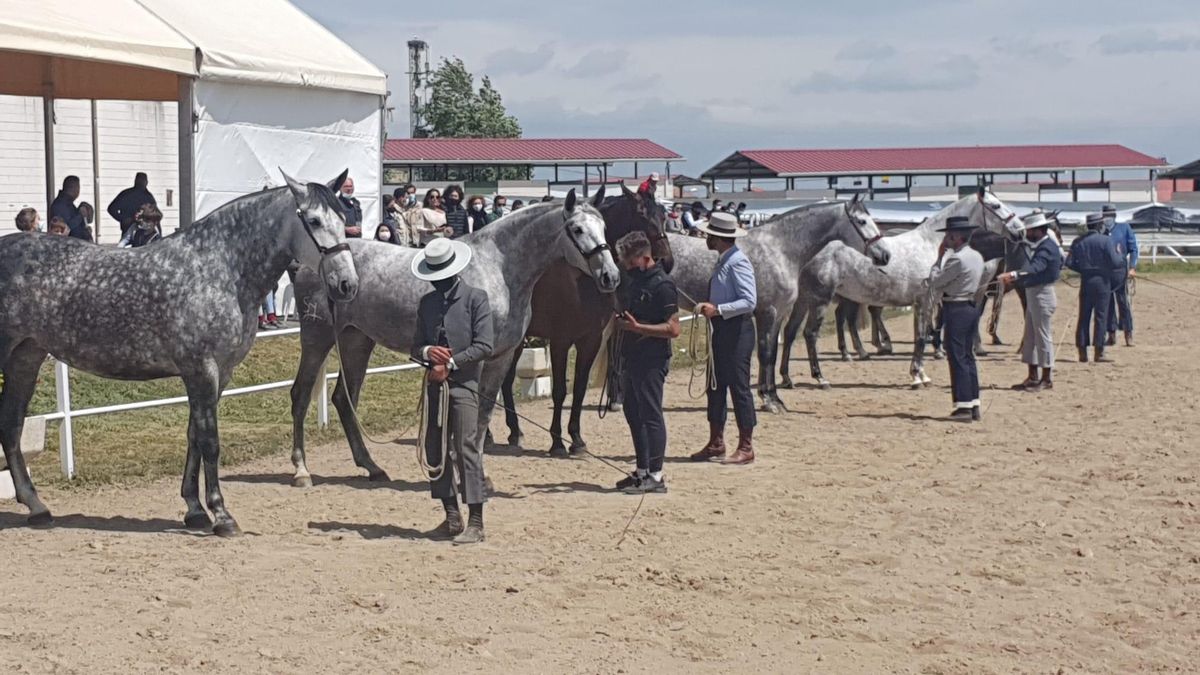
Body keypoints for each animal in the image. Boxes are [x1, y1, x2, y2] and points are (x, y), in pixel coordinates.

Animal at [0, 170, 355, 533]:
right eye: (314, 220)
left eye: (344, 219)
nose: (347, 283)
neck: (220, 270)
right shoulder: (202, 369)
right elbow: (210, 441)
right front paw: (221, 515)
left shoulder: (219, 373)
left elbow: (194, 436)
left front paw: (195, 510)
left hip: (26, 357)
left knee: (11, 425)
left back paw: (37, 507)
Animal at [284, 186, 614, 485]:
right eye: (577, 229)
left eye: (603, 226)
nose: (610, 276)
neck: (497, 268)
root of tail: (311, 262)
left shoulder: (501, 356)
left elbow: (483, 415)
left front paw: (479, 475)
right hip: (317, 337)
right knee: (301, 395)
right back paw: (302, 471)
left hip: (357, 341)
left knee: (343, 399)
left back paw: (372, 468)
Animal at [494, 186, 667, 454]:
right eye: (642, 215)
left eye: (662, 213)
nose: (667, 259)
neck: (579, 280)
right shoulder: (560, 341)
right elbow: (560, 390)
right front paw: (557, 442)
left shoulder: (591, 339)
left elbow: (579, 388)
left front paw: (576, 438)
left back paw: (515, 432)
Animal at [662, 196, 888, 410]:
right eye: (861, 221)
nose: (885, 255)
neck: (780, 249)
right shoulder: (767, 312)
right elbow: (765, 353)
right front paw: (768, 400)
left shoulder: (779, 313)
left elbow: (772, 353)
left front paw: (774, 397)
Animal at [792, 189, 1017, 389]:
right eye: (996, 206)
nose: (1019, 229)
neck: (931, 244)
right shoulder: (927, 300)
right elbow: (922, 336)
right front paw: (917, 377)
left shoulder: (923, 303)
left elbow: (920, 336)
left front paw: (921, 374)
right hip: (821, 300)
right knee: (813, 333)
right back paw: (823, 376)